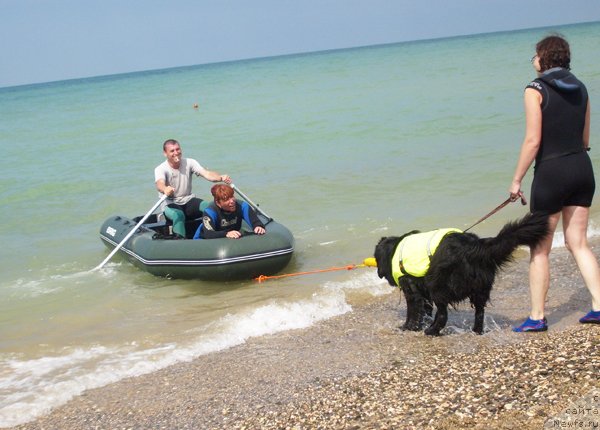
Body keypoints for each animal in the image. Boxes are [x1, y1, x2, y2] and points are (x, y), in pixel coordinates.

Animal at [376, 212, 548, 336]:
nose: (378, 273)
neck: (394, 249)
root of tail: (475, 247)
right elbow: (425, 308)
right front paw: (421, 323)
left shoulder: (412, 290)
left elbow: (413, 311)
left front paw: (408, 327)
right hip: (479, 289)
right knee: (479, 312)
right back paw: (475, 331)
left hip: (437, 284)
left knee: (443, 314)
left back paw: (432, 331)